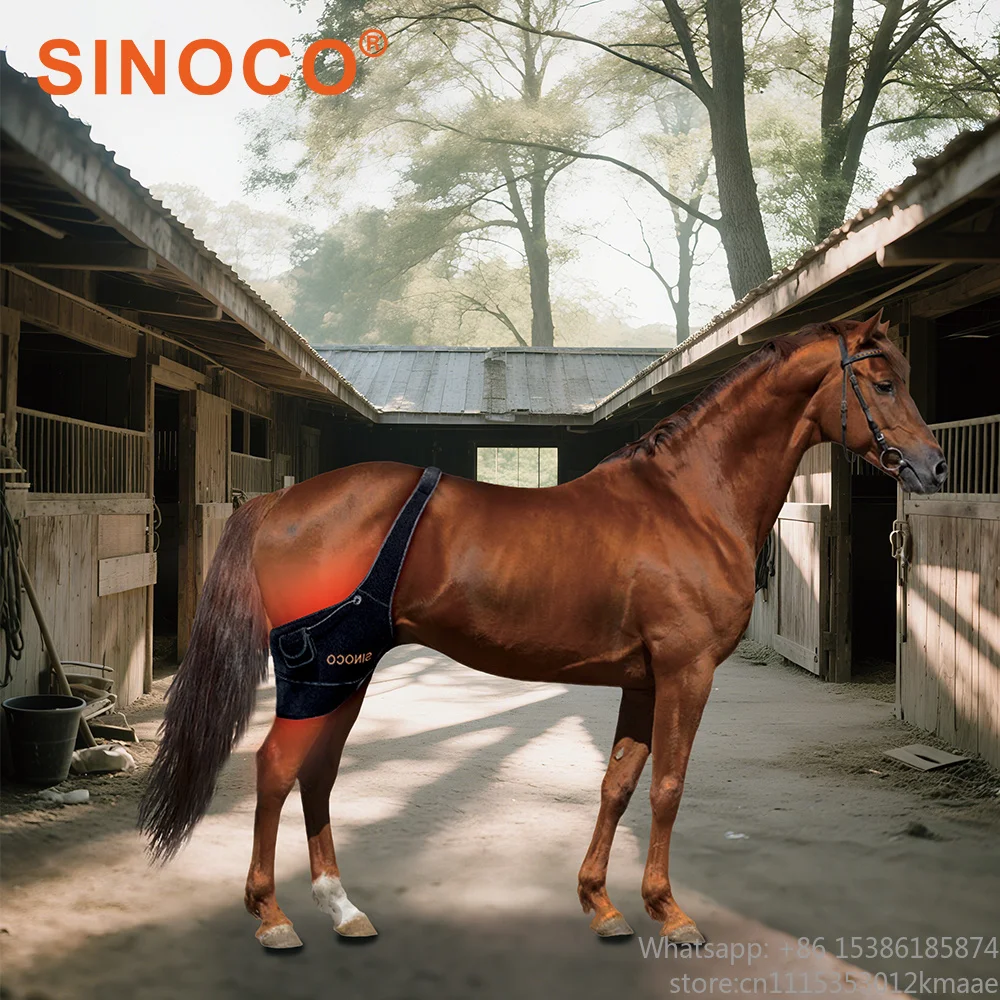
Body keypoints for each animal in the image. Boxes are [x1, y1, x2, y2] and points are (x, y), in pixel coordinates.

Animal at [138, 314, 947, 949]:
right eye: (882, 384)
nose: (934, 468)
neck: (688, 501)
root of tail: (280, 504)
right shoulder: (685, 671)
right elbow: (669, 786)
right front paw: (670, 913)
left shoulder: (642, 681)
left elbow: (619, 783)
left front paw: (602, 904)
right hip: (324, 669)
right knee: (277, 769)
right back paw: (273, 918)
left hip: (350, 670)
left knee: (317, 773)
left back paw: (342, 909)